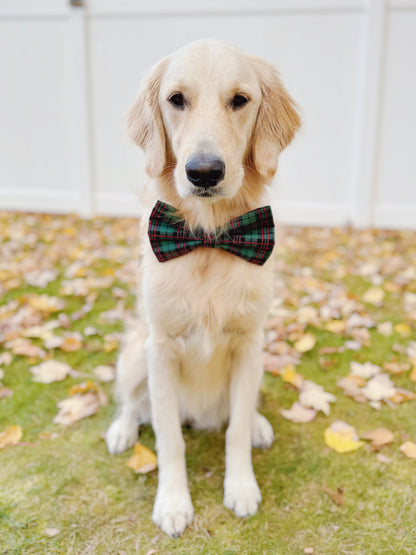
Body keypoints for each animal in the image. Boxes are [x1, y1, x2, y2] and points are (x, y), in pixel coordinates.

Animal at [105, 39, 300, 540]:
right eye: (177, 99)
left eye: (240, 100)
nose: (205, 172)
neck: (209, 239)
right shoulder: (160, 348)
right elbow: (170, 437)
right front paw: (174, 503)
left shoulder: (249, 343)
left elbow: (235, 432)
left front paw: (241, 487)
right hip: (134, 353)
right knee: (133, 404)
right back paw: (122, 430)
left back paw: (258, 423)